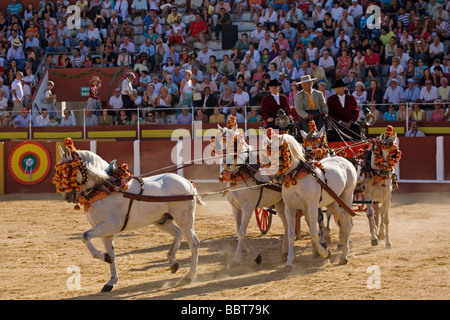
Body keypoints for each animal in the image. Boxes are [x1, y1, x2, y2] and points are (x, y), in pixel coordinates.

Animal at [57, 144, 201, 292]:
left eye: (69, 170)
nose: (67, 196)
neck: (105, 189)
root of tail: (187, 183)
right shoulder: (106, 233)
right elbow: (112, 254)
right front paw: (111, 280)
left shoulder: (109, 226)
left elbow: (85, 236)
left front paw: (105, 258)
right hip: (161, 221)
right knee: (178, 234)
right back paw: (173, 262)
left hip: (184, 219)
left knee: (194, 243)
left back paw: (189, 276)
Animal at [214, 124, 290, 266]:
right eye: (220, 142)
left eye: (235, 143)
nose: (226, 163)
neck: (240, 172)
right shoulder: (236, 208)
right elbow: (239, 231)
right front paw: (255, 255)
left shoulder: (247, 208)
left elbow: (242, 233)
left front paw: (236, 259)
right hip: (280, 203)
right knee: (287, 225)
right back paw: (285, 252)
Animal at [266, 134, 356, 268]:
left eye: (278, 151)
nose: (270, 175)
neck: (295, 177)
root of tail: (345, 160)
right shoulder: (289, 208)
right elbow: (291, 234)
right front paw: (289, 262)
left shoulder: (312, 207)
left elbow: (313, 234)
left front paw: (325, 253)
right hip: (332, 202)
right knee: (343, 220)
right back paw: (343, 245)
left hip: (347, 197)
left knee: (348, 223)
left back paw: (344, 255)